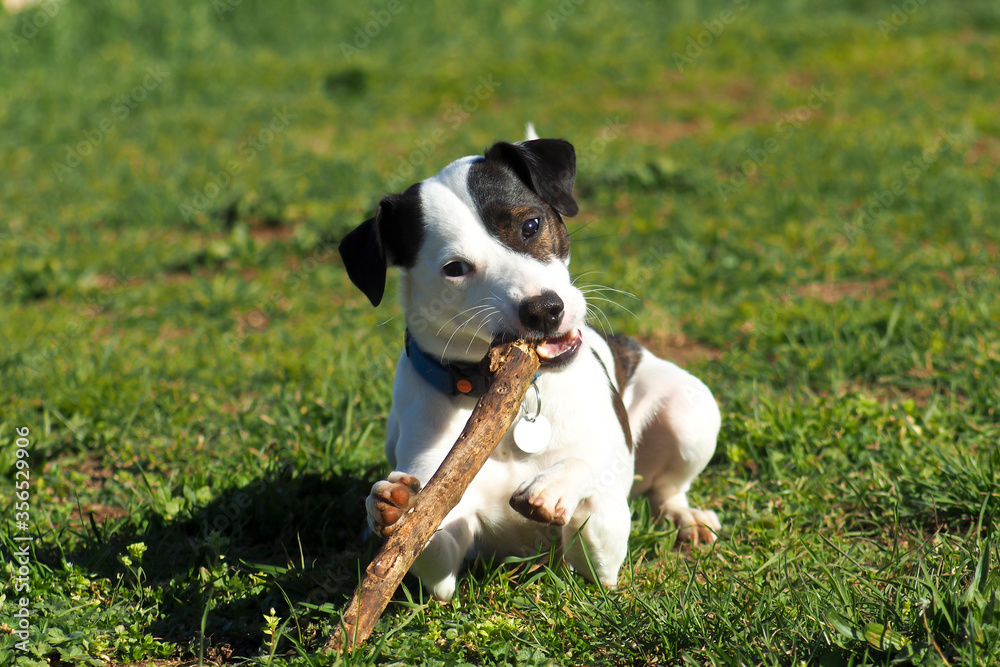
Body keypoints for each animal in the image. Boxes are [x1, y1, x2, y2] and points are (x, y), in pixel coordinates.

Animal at [340, 130, 724, 600]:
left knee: (668, 489)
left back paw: (687, 518)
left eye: (530, 225)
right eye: (455, 268)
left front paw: (556, 485)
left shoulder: (606, 555)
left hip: (689, 411)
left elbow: (586, 477)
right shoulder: (445, 549)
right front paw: (392, 509)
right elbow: (421, 544)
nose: (543, 309)